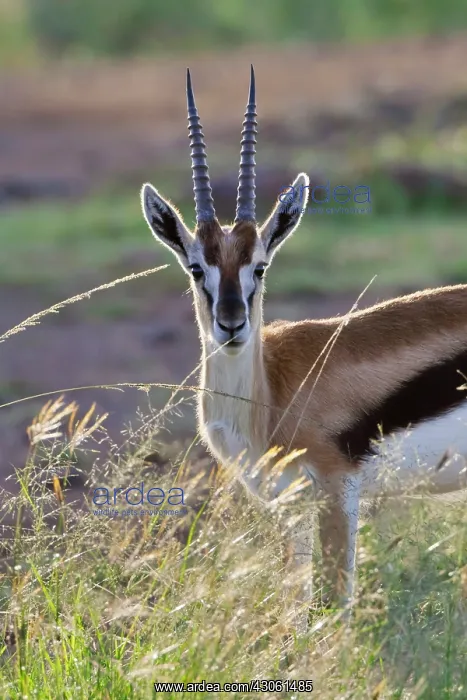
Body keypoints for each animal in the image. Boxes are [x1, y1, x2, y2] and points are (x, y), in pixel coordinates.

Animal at [140, 66, 467, 627]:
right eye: (196, 268)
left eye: (260, 267)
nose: (231, 324)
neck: (269, 395)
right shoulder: (288, 507)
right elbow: (293, 611)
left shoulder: (335, 491)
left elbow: (334, 608)